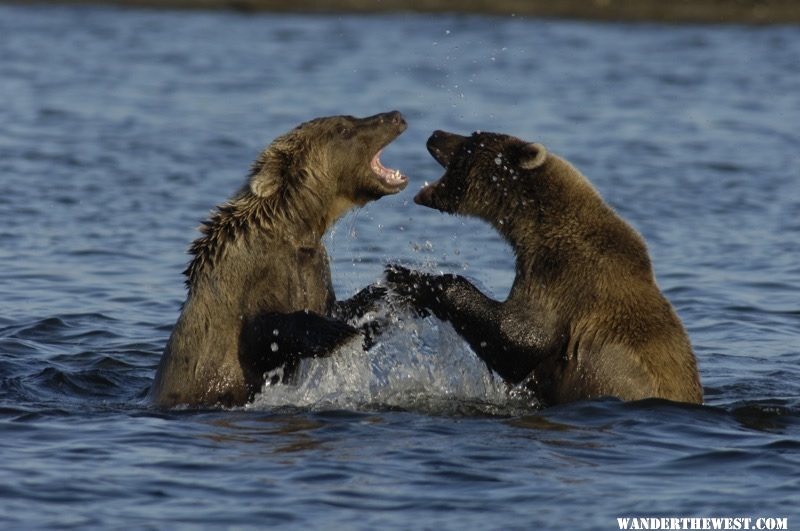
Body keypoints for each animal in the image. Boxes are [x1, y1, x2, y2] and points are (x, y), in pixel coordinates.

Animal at [151, 112, 410, 410]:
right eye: (343, 129)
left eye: (351, 118)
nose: (395, 117)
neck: (298, 227)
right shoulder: (250, 280)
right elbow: (266, 330)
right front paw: (336, 332)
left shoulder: (313, 268)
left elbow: (335, 307)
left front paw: (389, 292)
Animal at [388, 131, 700, 406]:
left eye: (471, 141)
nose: (436, 134)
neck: (538, 225)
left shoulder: (562, 274)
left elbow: (520, 339)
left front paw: (410, 278)